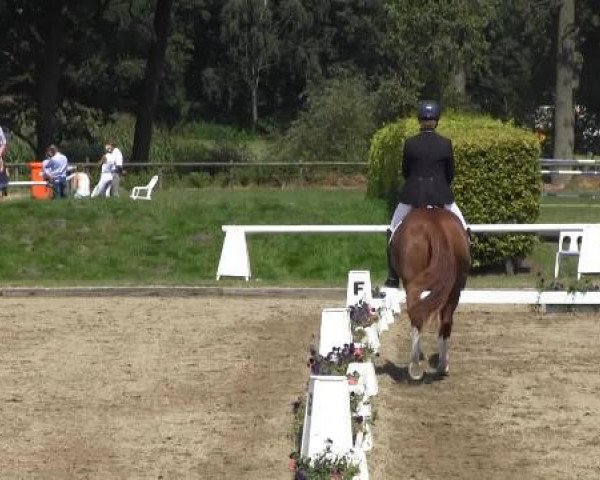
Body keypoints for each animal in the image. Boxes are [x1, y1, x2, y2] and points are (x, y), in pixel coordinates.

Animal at [392, 208, 472, 380]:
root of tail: (435, 224)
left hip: (412, 285)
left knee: (416, 316)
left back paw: (415, 367)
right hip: (455, 288)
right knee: (446, 321)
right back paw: (443, 366)